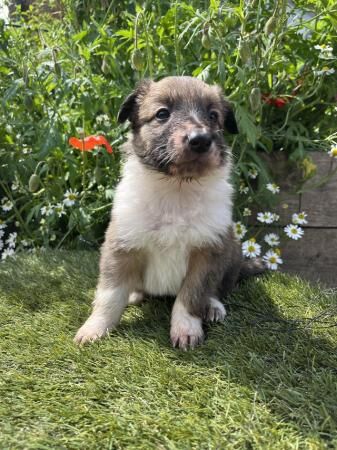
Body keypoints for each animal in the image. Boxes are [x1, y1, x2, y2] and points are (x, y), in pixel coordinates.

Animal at [74, 75, 262, 350]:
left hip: (231, 249)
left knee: (217, 289)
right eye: (162, 114)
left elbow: (191, 295)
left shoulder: (206, 251)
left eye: (213, 116)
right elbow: (110, 295)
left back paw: (213, 306)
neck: (176, 188)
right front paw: (94, 328)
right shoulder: (120, 245)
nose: (200, 139)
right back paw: (134, 294)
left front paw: (186, 330)